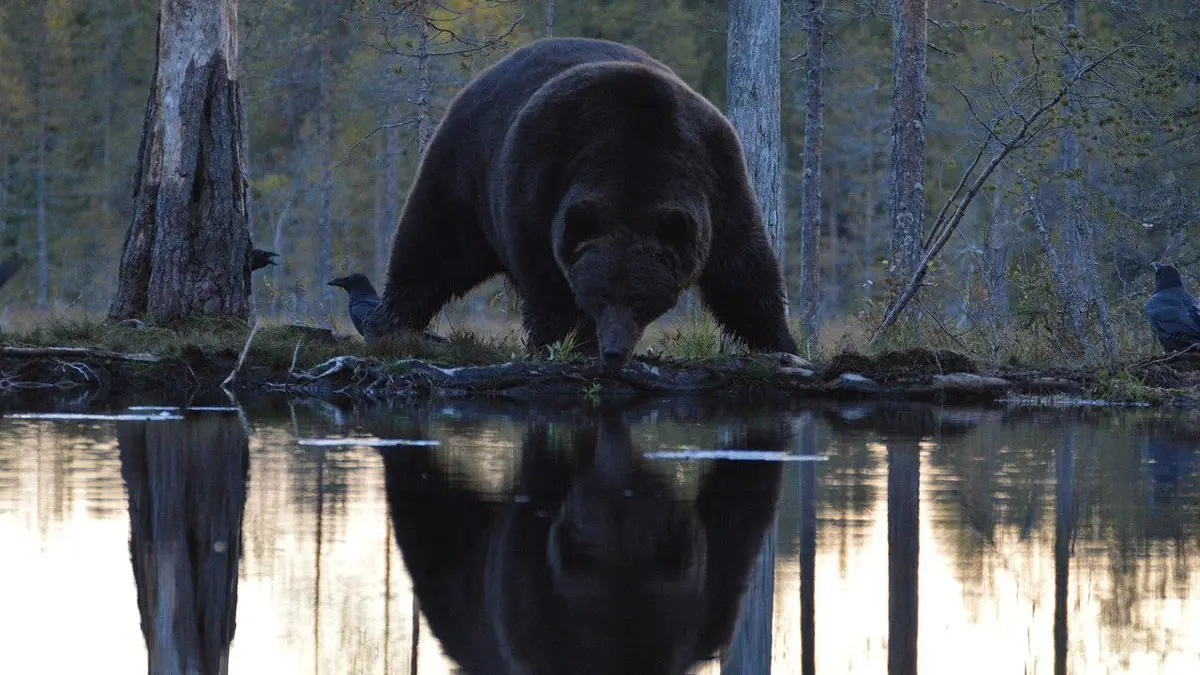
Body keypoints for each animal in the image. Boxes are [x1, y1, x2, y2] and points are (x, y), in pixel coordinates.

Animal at [363, 37, 799, 367]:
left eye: (640, 300)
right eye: (600, 297)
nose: (615, 351)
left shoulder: (719, 177)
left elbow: (743, 270)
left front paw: (781, 343)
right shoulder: (539, 185)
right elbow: (548, 284)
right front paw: (568, 343)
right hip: (464, 173)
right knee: (432, 248)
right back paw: (389, 324)